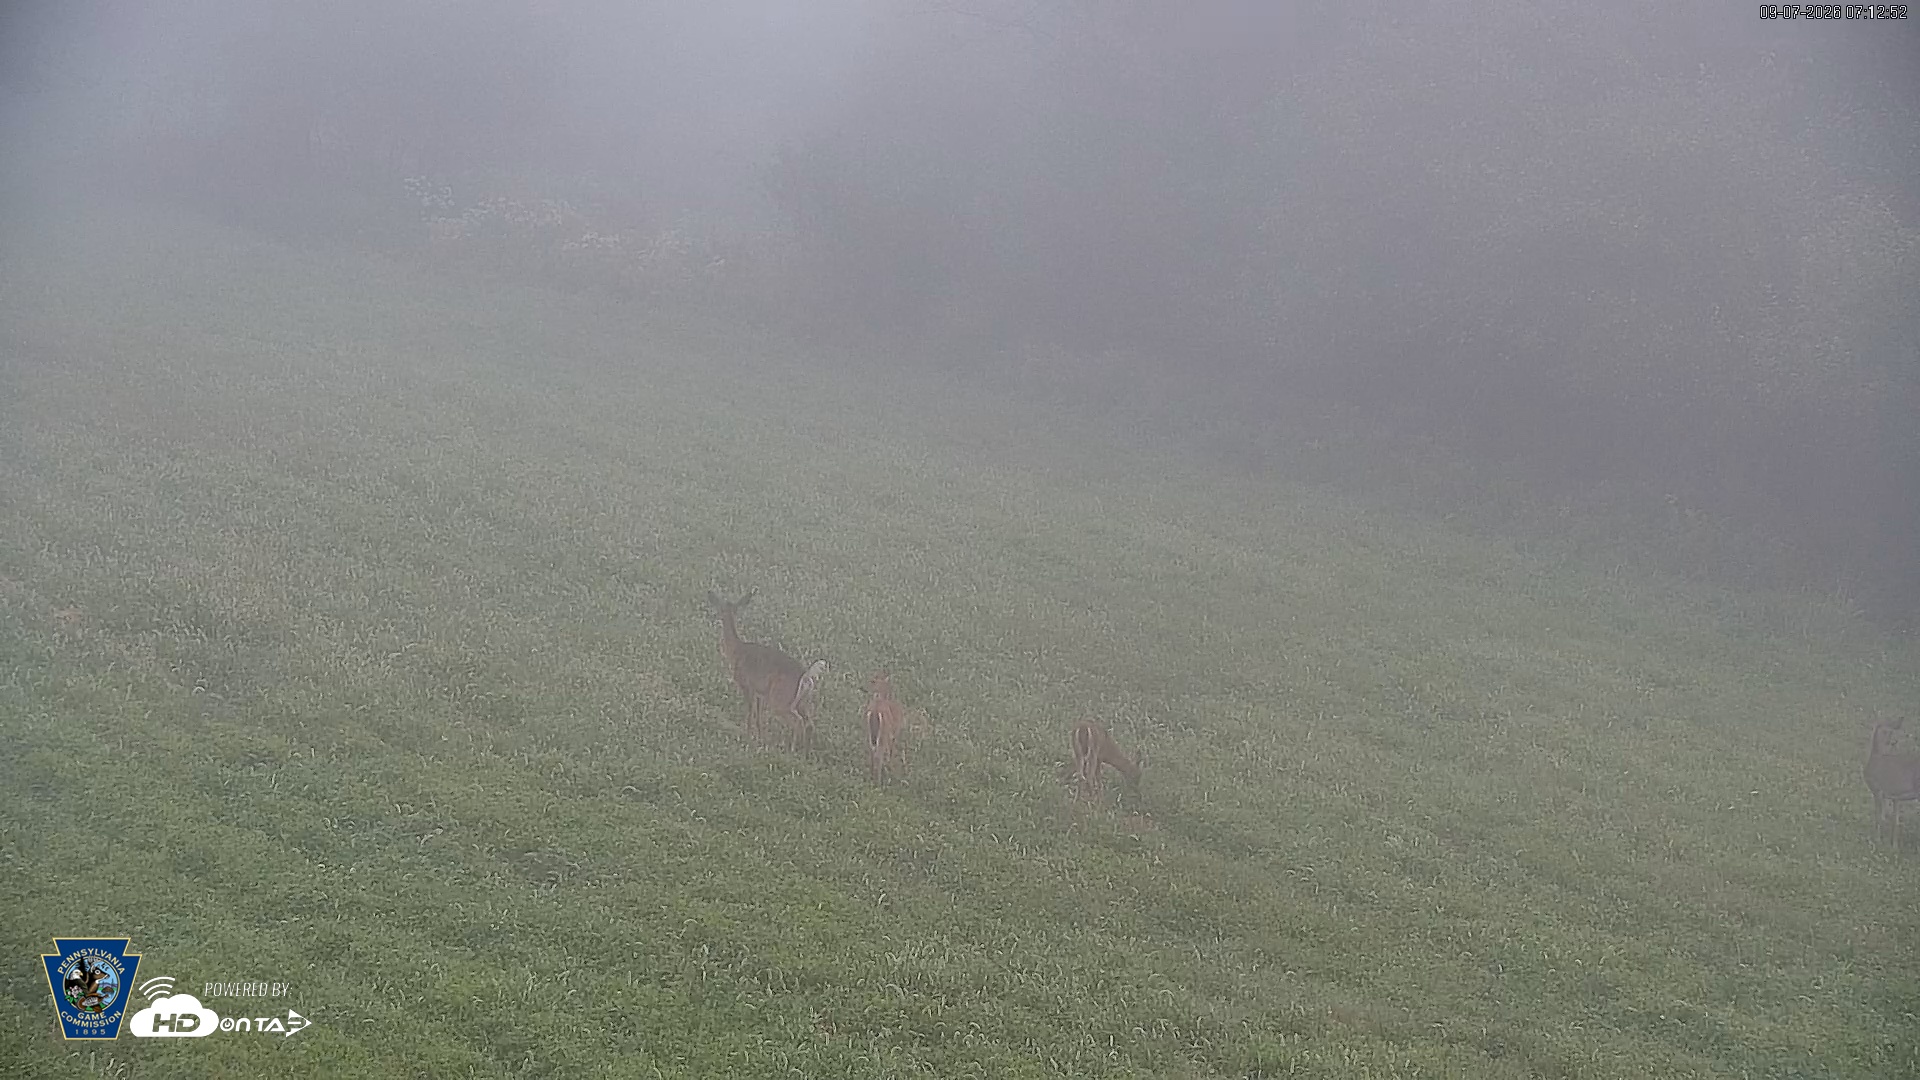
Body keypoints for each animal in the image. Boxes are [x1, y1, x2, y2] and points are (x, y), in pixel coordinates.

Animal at [707, 590, 818, 753]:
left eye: (720, 609)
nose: (714, 617)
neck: (736, 650)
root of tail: (805, 677)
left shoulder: (746, 685)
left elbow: (750, 712)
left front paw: (747, 736)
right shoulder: (760, 691)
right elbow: (759, 715)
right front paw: (760, 738)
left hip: (780, 699)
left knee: (798, 722)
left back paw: (792, 750)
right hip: (801, 701)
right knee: (809, 723)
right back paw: (805, 752)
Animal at [1866, 718, 1920, 849]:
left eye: (1891, 731)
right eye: (1887, 731)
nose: (1894, 742)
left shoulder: (1877, 789)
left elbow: (1879, 816)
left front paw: (1877, 840)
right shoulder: (1895, 797)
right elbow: (1894, 820)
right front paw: (1894, 845)